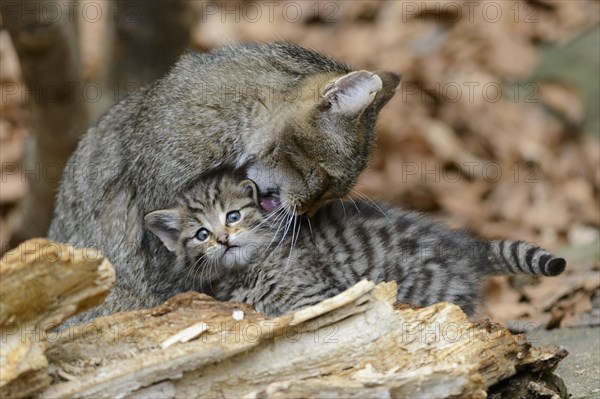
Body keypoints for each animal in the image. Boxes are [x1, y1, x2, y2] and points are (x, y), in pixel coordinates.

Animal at [146, 173, 568, 318]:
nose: (222, 238)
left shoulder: (317, 295)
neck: (250, 268)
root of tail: (465, 248)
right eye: (201, 234)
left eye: (233, 216)